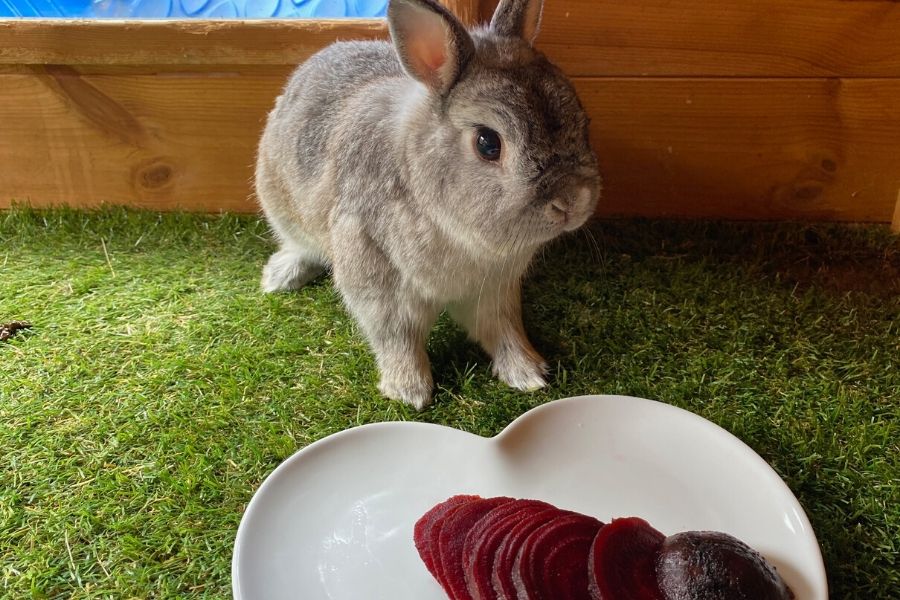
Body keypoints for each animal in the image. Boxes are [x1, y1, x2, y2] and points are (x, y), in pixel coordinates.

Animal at [256, 0, 600, 410]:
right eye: (488, 143)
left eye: (581, 117)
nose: (573, 201)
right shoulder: (379, 286)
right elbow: (397, 339)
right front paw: (410, 392)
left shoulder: (494, 289)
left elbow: (502, 329)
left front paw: (527, 373)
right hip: (281, 207)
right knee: (298, 245)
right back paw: (280, 277)